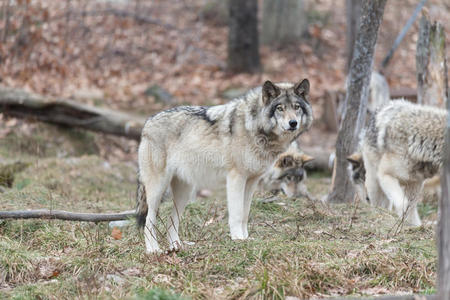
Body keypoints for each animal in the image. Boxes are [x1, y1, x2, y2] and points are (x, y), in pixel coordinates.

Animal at [136, 78, 312, 252]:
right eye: (280, 108)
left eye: (296, 107)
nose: (293, 123)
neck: (254, 126)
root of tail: (147, 122)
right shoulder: (236, 178)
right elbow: (237, 213)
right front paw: (238, 239)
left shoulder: (252, 181)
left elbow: (245, 213)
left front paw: (246, 238)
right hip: (158, 189)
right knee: (148, 221)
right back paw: (153, 250)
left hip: (184, 193)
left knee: (171, 221)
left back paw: (177, 247)